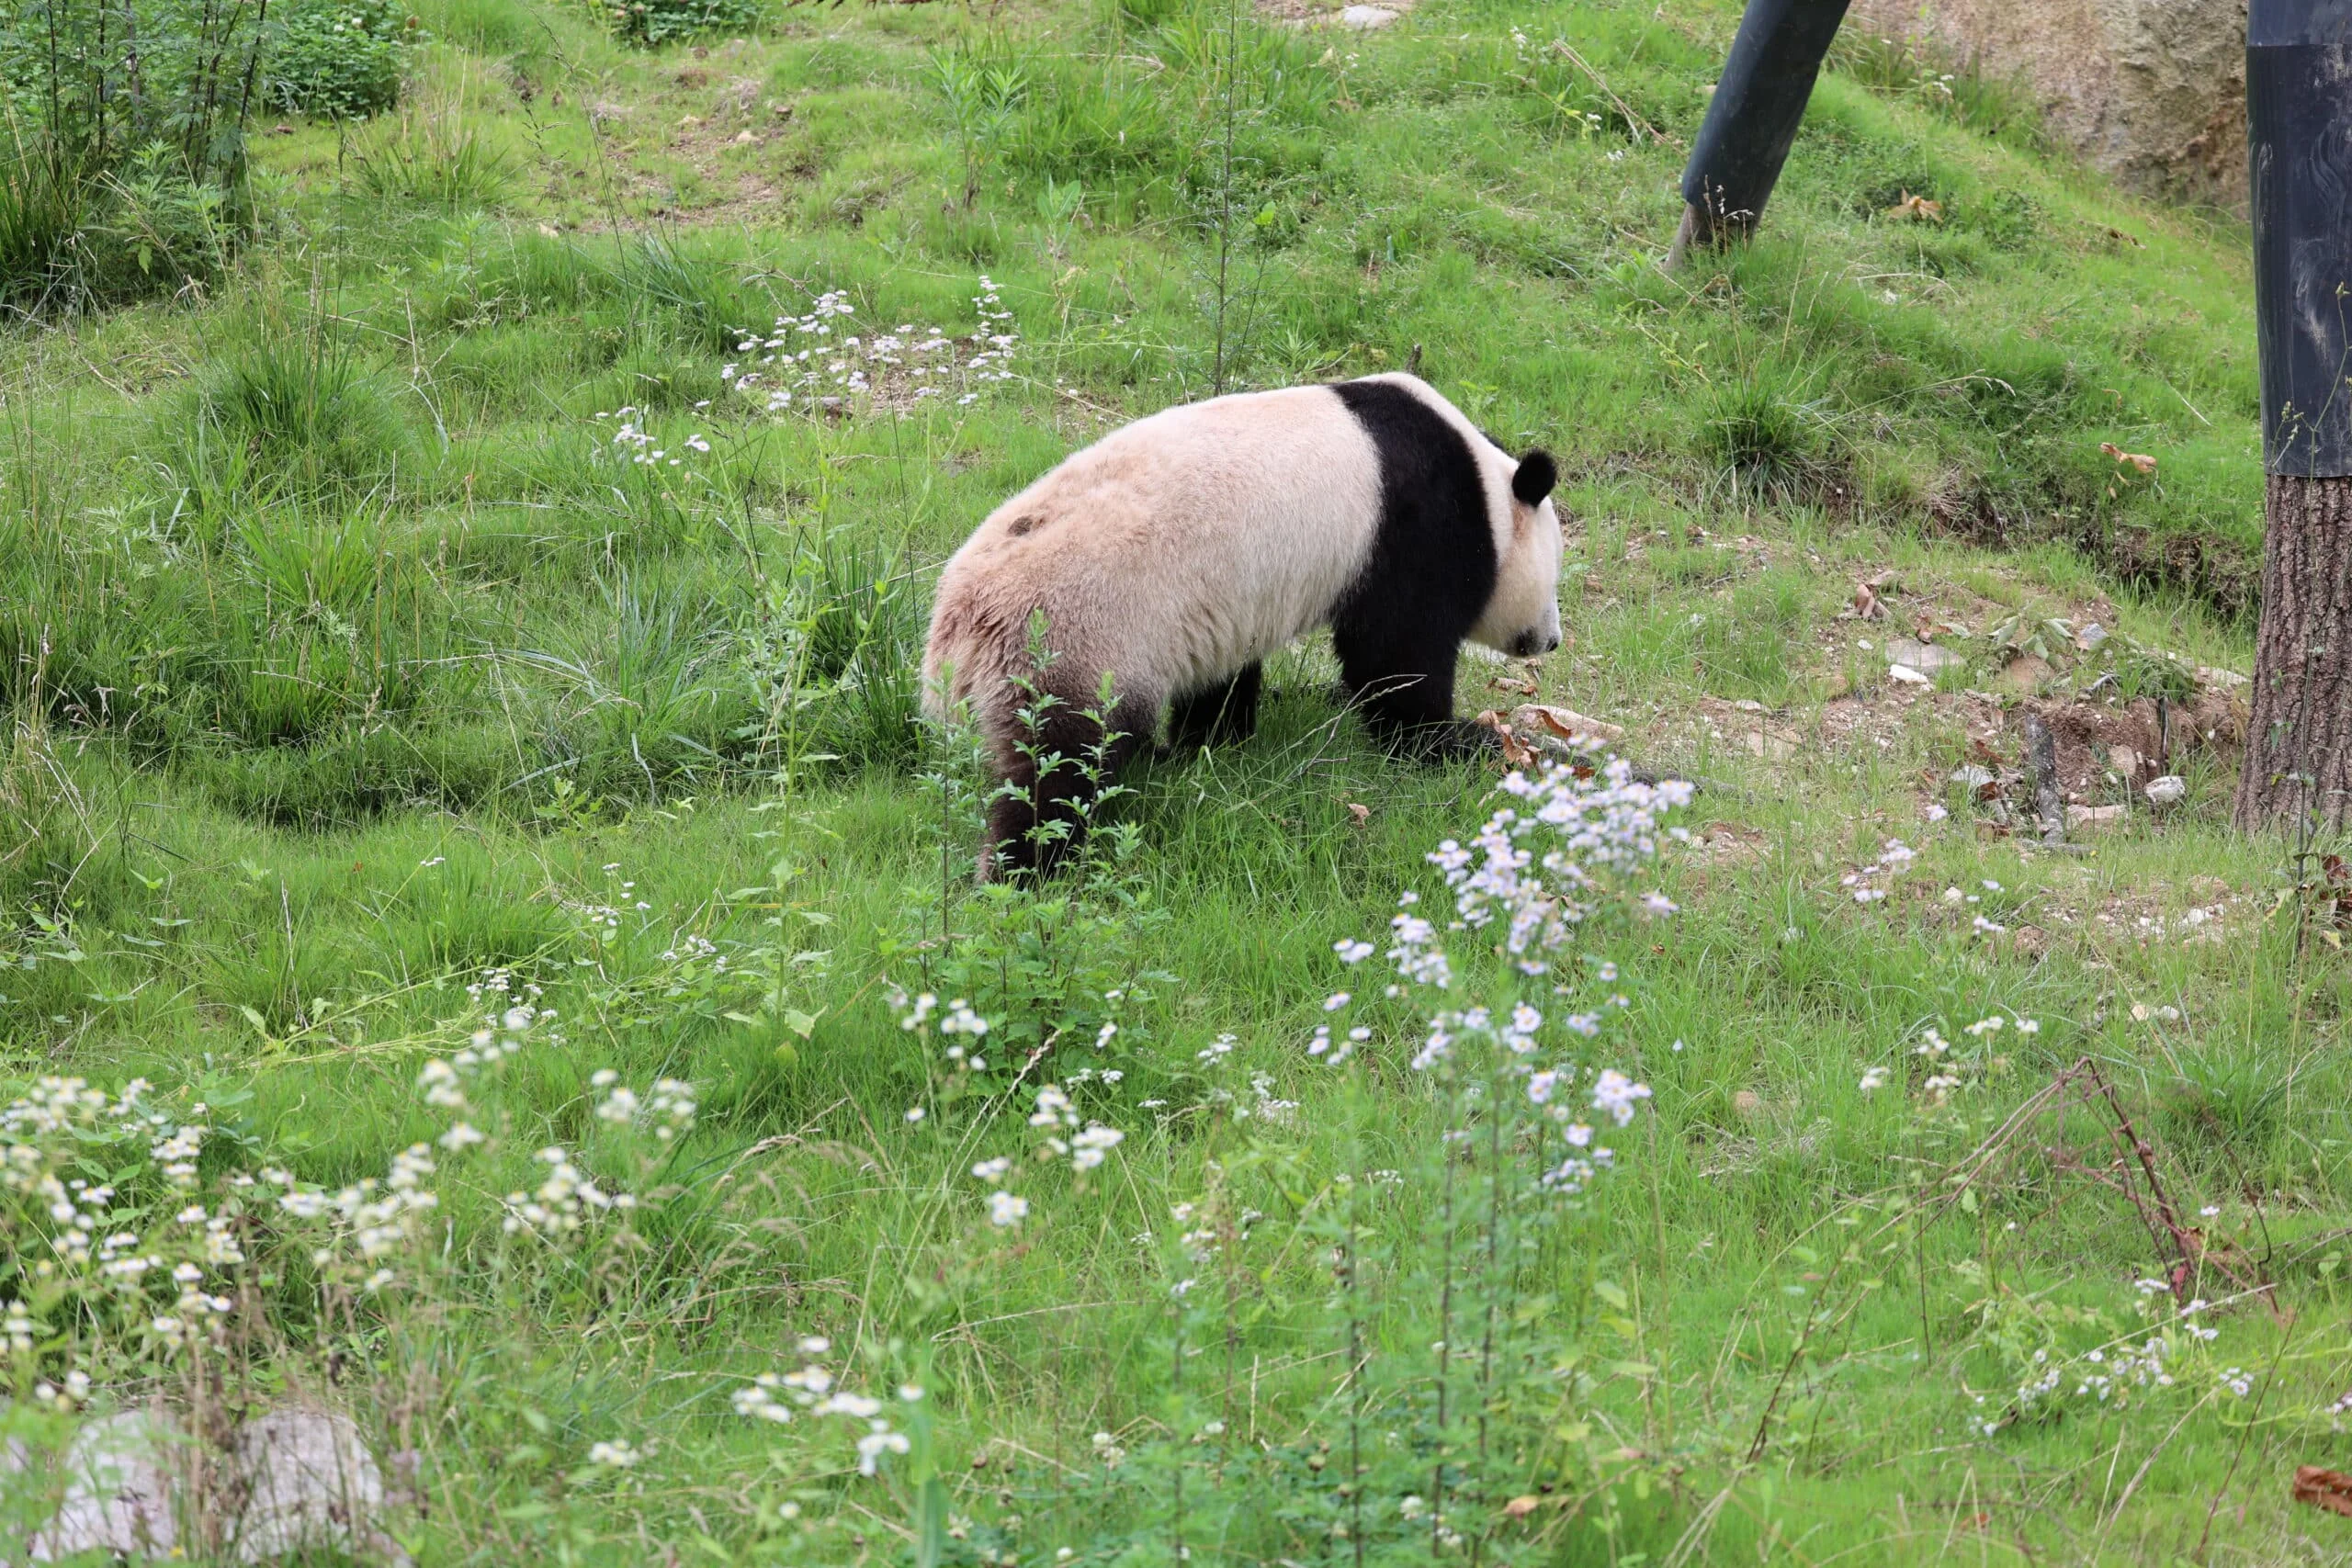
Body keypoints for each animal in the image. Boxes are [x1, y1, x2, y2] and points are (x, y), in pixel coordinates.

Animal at [923, 372, 1564, 879]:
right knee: (1059, 768)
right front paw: (1458, 742)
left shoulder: (1225, 608)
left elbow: (1223, 679)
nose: (1551, 641)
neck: (1486, 490)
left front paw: (1215, 743)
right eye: (1556, 576)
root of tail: (959, 632)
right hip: (1076, 638)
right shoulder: (1411, 531)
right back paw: (1024, 874)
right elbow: (1395, 658)